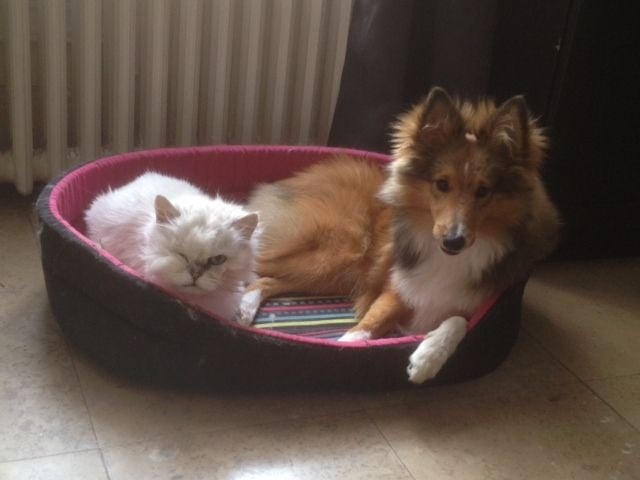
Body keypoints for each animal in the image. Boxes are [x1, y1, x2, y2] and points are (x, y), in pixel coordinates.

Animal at [239, 86, 560, 383]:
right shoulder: (395, 289)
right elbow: (365, 326)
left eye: (484, 191)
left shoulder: (476, 303)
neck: (447, 258)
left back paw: (244, 309)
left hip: (332, 271)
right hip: (338, 250)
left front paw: (427, 358)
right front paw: (344, 345)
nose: (453, 240)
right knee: (255, 267)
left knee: (266, 280)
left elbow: (458, 320)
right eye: (442, 184)